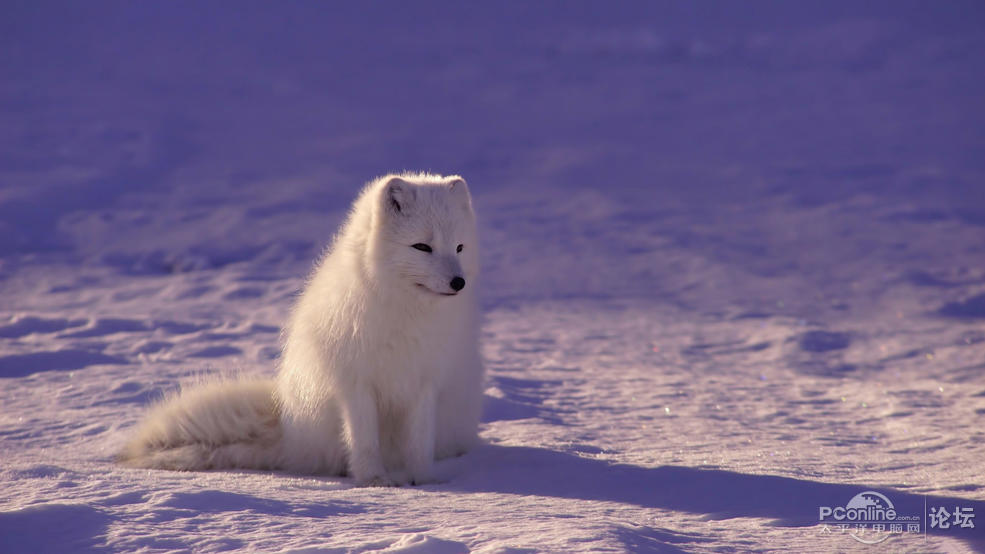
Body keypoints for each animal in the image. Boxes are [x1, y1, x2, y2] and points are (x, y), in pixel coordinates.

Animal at [119, 172, 484, 484]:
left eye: (459, 247)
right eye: (422, 247)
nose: (459, 282)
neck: (405, 312)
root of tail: (289, 431)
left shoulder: (426, 382)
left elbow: (419, 443)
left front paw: (423, 482)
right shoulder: (355, 383)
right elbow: (364, 440)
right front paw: (374, 481)